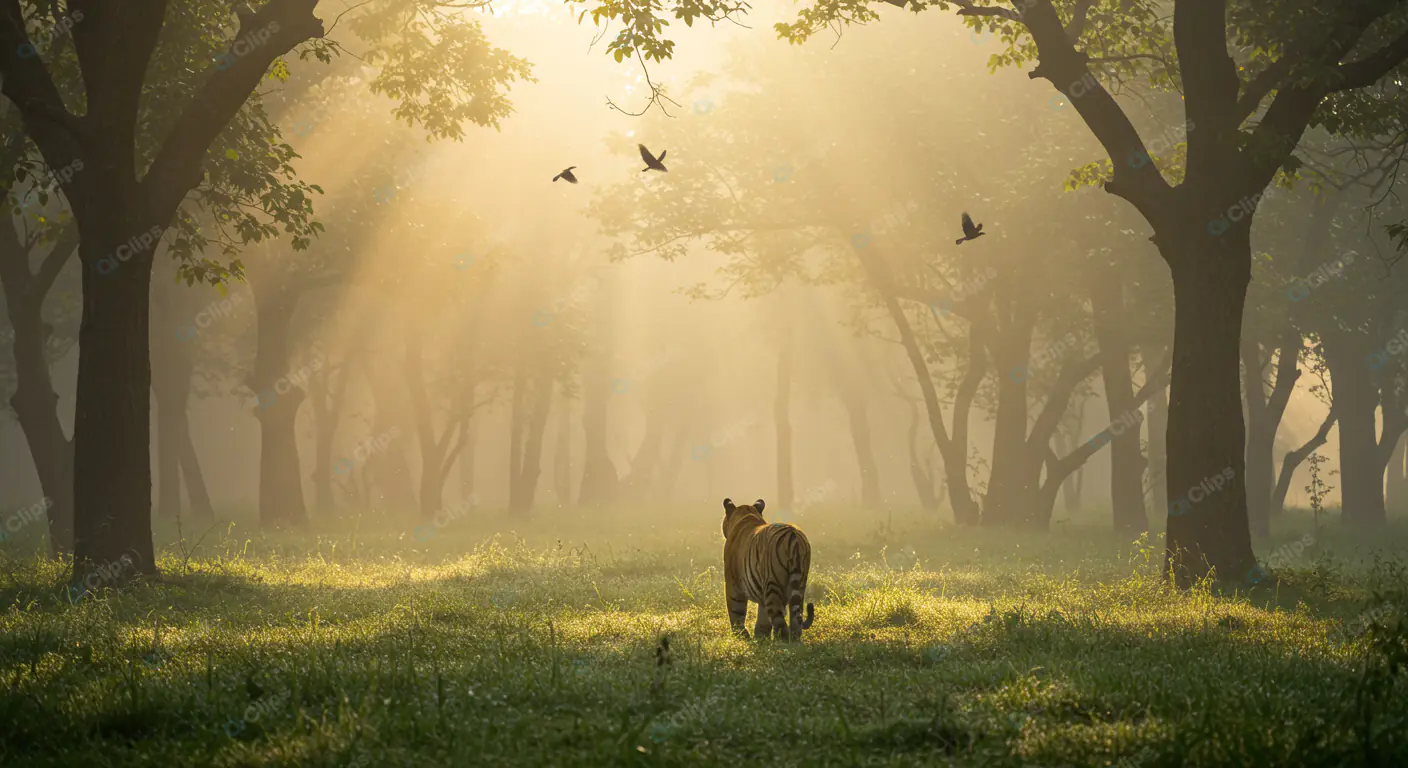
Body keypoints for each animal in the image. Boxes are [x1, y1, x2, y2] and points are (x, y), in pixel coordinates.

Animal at [721, 497, 815, 641]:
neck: (747, 514)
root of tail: (794, 536)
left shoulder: (733, 584)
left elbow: (736, 612)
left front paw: (741, 636)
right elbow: (763, 618)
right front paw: (760, 638)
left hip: (773, 585)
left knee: (780, 622)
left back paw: (781, 642)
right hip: (800, 584)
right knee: (795, 620)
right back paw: (793, 641)